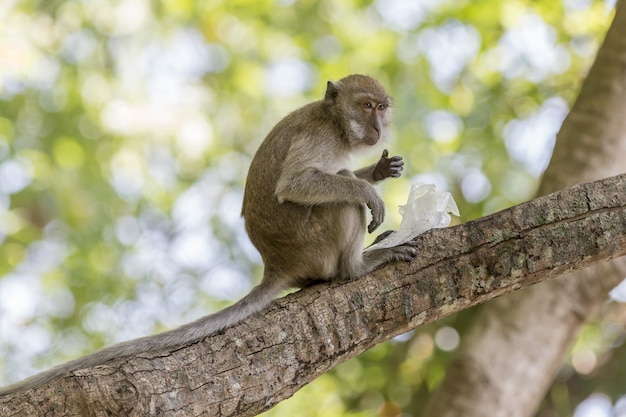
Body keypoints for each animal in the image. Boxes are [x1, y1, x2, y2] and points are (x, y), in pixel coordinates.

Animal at [0, 73, 414, 394]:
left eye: (381, 107)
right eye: (366, 105)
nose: (378, 127)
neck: (336, 123)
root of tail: (278, 264)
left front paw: (377, 171)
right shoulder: (319, 139)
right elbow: (297, 184)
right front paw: (368, 192)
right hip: (314, 243)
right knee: (341, 198)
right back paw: (356, 267)